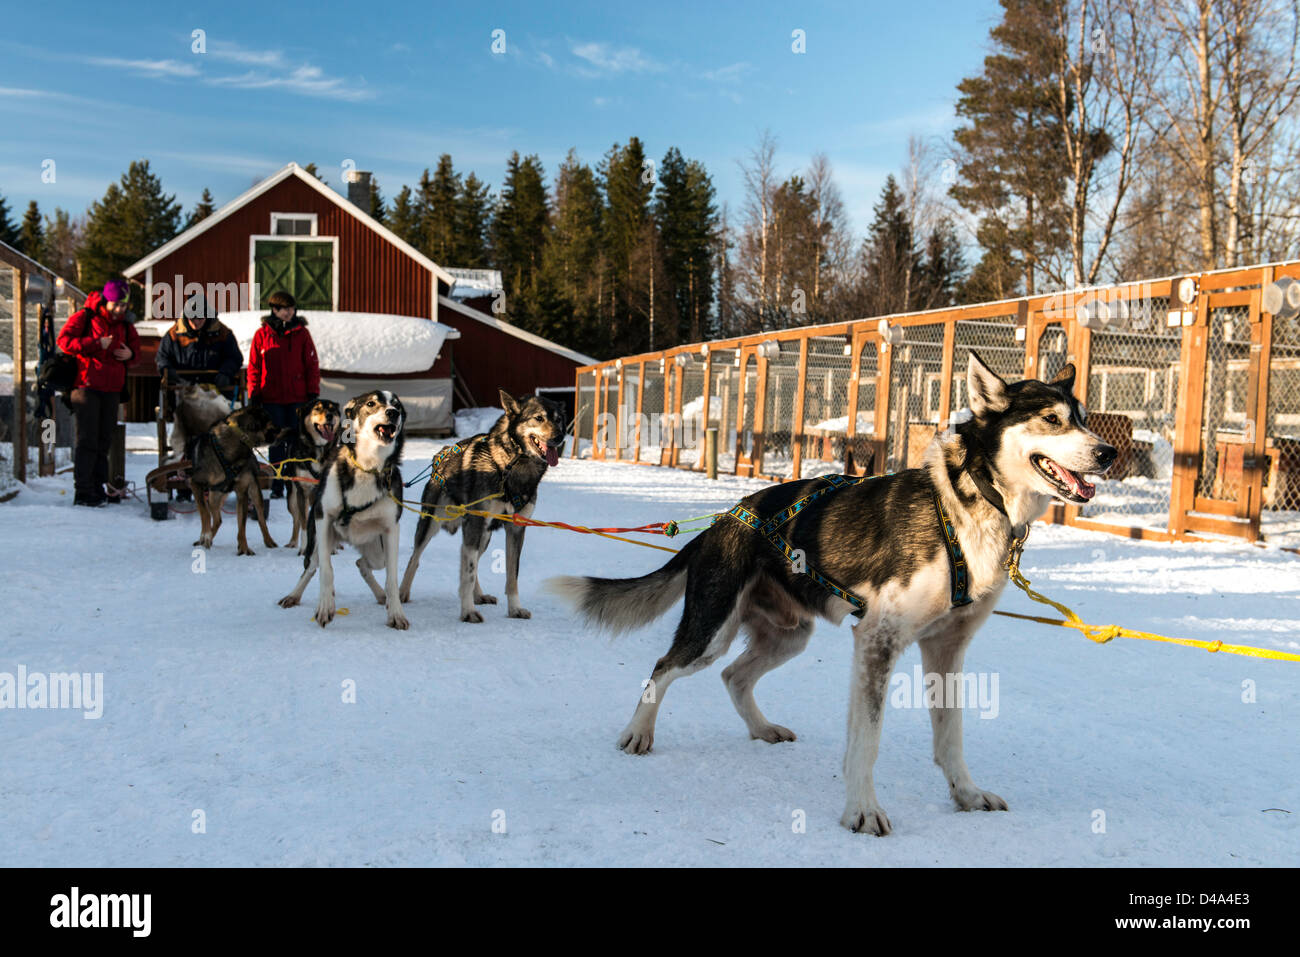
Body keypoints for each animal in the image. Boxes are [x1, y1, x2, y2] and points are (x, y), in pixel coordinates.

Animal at [276, 390, 408, 629]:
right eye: (371, 403)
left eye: (397, 406)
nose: (393, 413)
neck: (367, 467)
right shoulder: (324, 519)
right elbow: (326, 571)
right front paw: (325, 606)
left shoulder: (391, 530)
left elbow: (392, 579)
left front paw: (396, 613)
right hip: (318, 542)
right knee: (311, 567)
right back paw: (294, 596)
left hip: (377, 552)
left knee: (362, 563)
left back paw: (380, 595)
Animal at [548, 356, 1118, 832]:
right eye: (1051, 419)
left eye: (1085, 418)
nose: (1109, 451)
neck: (970, 501)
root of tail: (724, 520)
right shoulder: (877, 640)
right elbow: (866, 741)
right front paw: (861, 811)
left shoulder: (946, 648)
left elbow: (950, 736)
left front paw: (966, 795)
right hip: (711, 629)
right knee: (664, 667)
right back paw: (637, 733)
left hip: (789, 635)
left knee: (734, 676)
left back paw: (762, 729)